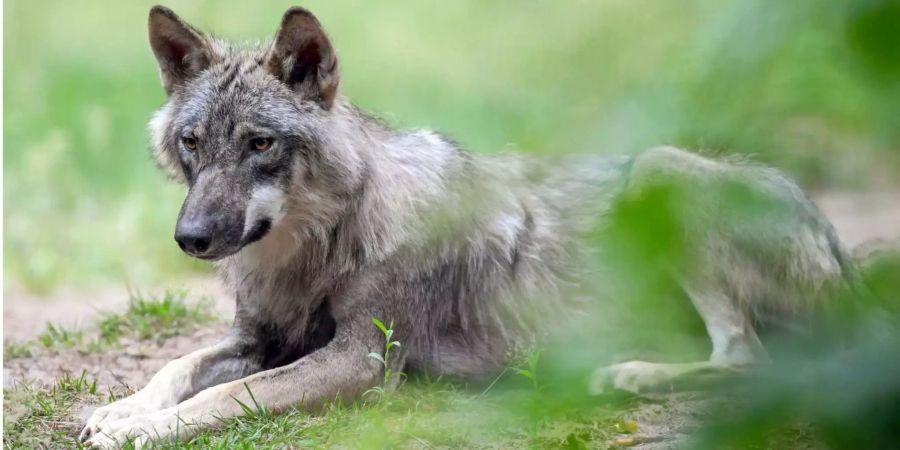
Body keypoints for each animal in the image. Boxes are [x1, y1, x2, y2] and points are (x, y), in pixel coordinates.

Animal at [81, 5, 856, 448]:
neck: (317, 247)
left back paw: (628, 373)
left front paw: (144, 428)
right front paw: (122, 411)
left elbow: (222, 396)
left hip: (660, 169)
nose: (190, 238)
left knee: (748, 360)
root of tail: (836, 246)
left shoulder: (359, 360)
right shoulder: (259, 339)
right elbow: (179, 368)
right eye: (192, 143)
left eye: (260, 144)